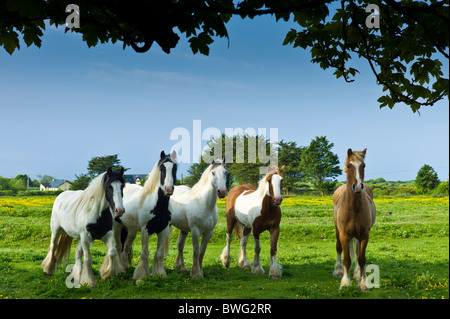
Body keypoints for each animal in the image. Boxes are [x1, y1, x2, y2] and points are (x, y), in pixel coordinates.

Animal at [114, 151, 178, 282]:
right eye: (162, 168)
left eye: (175, 168)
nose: (169, 189)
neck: (158, 206)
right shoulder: (145, 230)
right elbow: (145, 253)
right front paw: (141, 275)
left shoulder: (163, 230)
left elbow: (159, 254)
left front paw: (159, 273)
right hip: (118, 225)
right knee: (119, 247)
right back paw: (121, 269)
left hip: (131, 230)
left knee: (126, 248)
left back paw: (125, 268)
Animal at [332, 149, 374, 292]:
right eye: (349, 166)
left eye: (363, 166)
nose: (358, 187)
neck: (354, 207)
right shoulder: (344, 235)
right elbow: (347, 259)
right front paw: (345, 283)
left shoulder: (364, 235)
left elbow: (361, 259)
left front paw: (363, 283)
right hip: (338, 232)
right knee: (339, 248)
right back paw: (338, 272)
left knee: (356, 252)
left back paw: (356, 274)